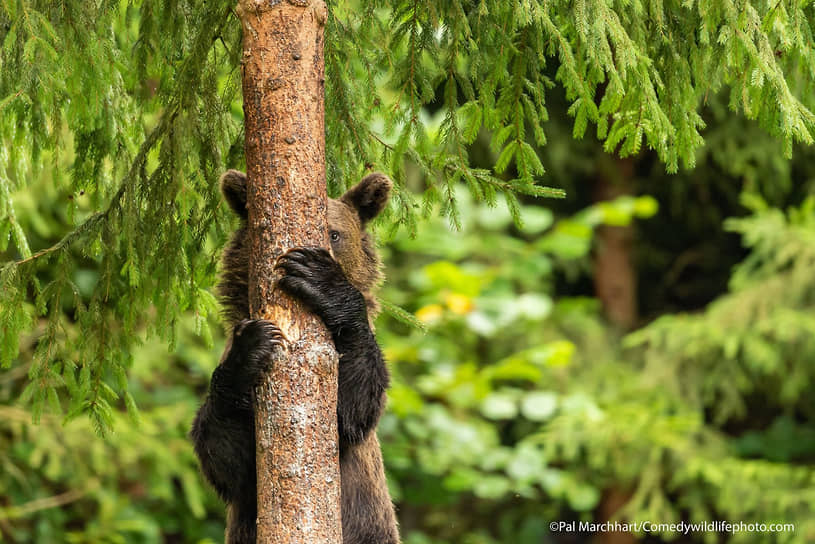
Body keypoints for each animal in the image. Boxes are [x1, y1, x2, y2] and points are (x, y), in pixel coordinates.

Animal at [189, 170, 398, 544]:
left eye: (335, 233)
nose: (320, 251)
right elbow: (225, 456)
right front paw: (251, 347)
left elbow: (351, 409)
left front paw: (320, 278)